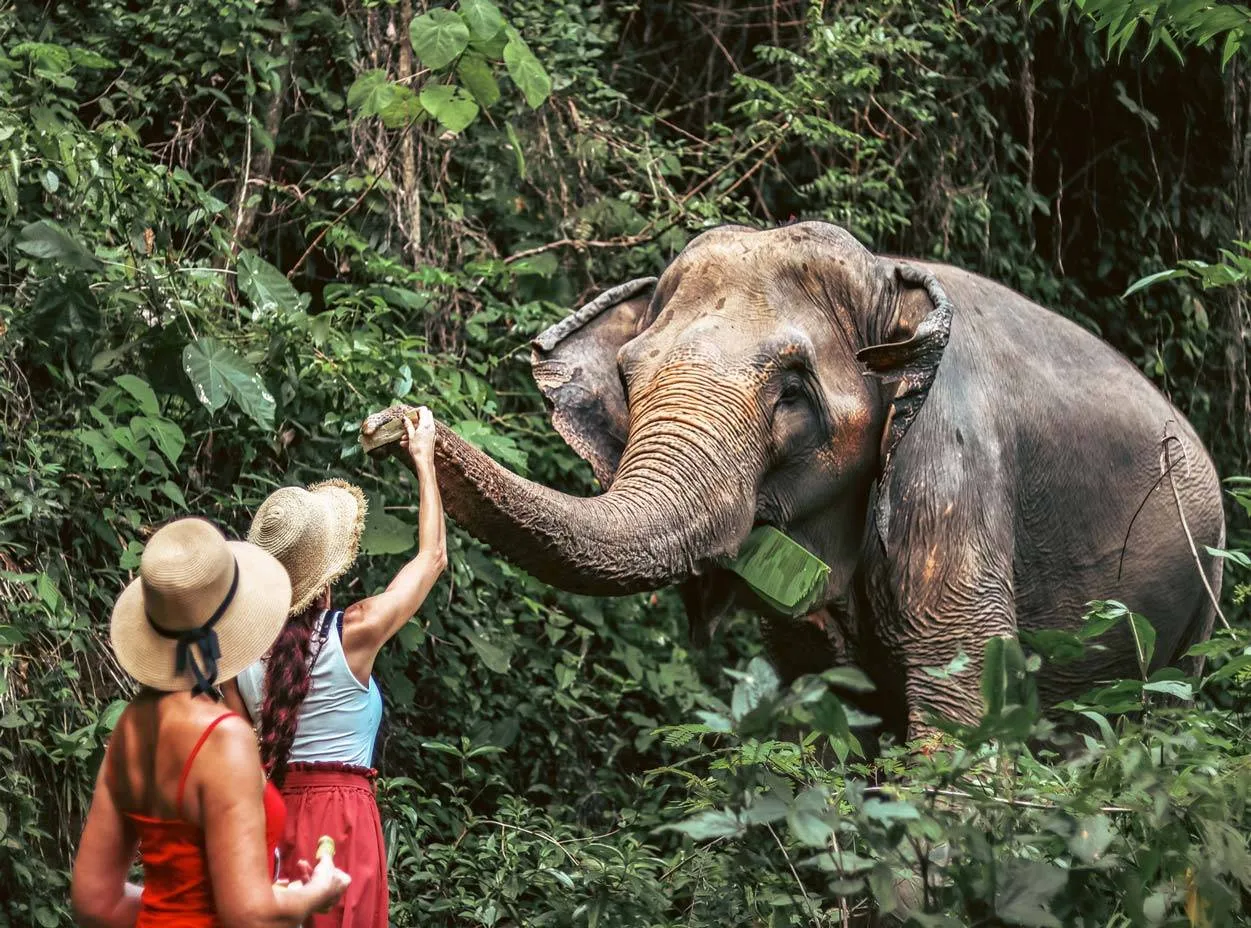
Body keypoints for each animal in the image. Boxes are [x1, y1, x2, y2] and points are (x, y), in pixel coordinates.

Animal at [362, 221, 1225, 743]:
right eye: (629, 378)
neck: (889, 281)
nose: (390, 421)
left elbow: (960, 713)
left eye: (791, 391)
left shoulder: (951, 466)